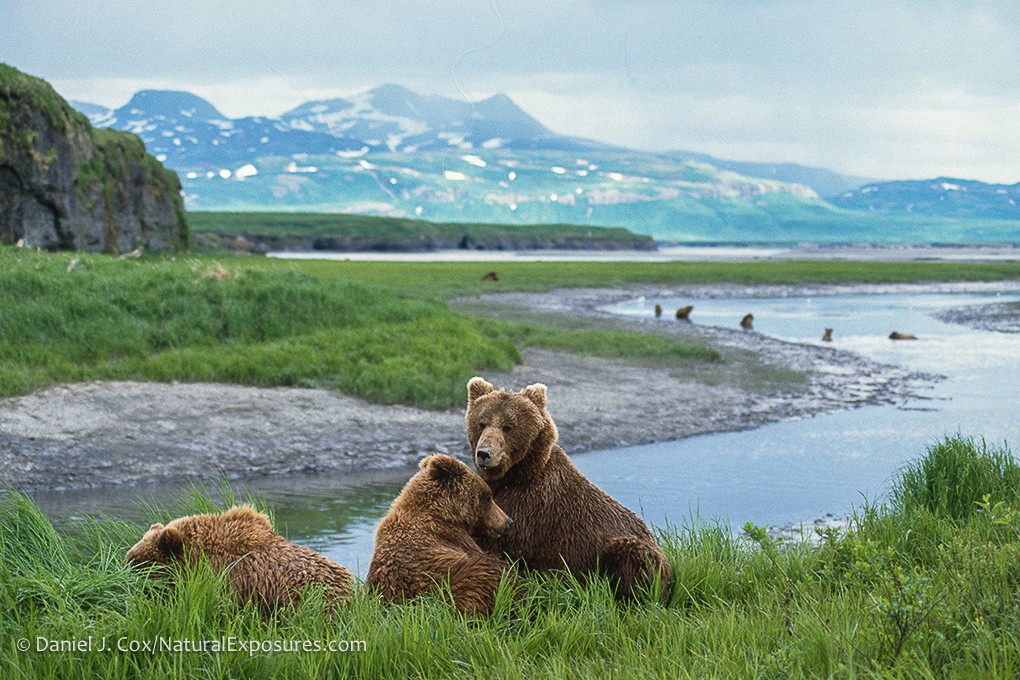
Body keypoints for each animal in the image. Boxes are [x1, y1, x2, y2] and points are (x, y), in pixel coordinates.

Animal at [466, 377, 672, 601]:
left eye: (508, 427)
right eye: (481, 423)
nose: (484, 453)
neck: (515, 475)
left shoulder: (529, 507)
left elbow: (493, 541)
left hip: (632, 551)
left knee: (630, 559)